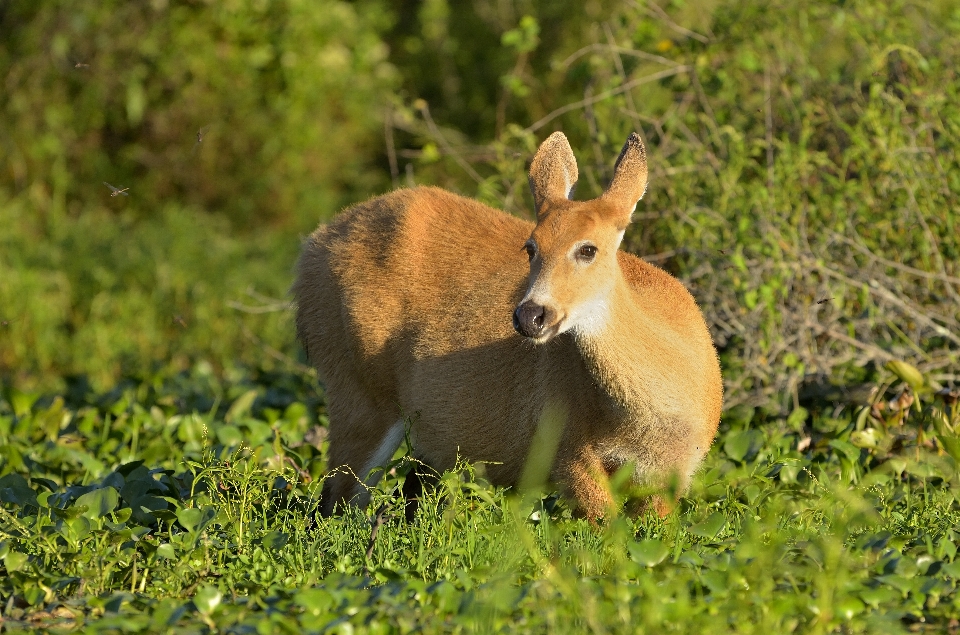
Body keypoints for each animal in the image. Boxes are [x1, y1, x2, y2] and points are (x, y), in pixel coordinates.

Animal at [292, 132, 720, 520]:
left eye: (588, 249)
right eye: (531, 247)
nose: (530, 315)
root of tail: (311, 249)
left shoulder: (673, 475)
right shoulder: (566, 448)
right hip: (358, 392)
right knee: (336, 504)